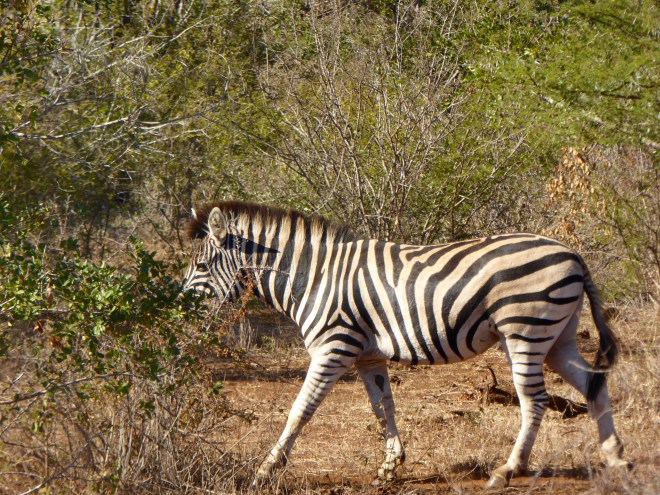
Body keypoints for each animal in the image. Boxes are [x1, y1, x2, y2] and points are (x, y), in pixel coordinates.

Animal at [183, 200, 630, 488]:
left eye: (201, 266)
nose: (179, 309)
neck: (313, 277)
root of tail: (573, 254)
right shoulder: (367, 356)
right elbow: (383, 409)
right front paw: (390, 466)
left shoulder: (334, 347)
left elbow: (299, 411)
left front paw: (266, 469)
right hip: (557, 336)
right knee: (594, 385)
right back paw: (615, 456)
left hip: (526, 329)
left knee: (534, 401)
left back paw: (508, 470)